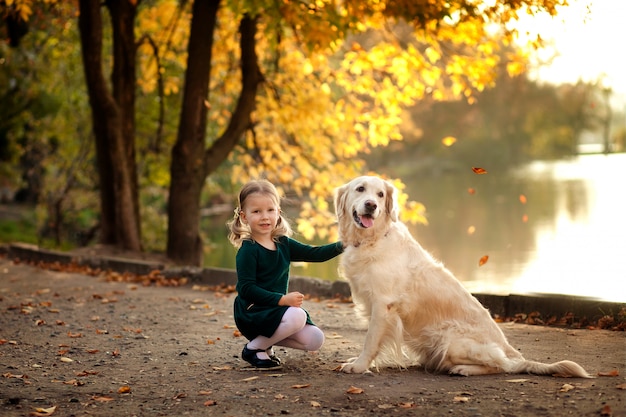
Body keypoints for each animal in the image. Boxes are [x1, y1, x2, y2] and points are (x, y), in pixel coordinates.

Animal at [334, 175, 588, 376]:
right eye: (360, 189)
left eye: (380, 194)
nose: (371, 205)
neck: (372, 239)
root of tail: (512, 352)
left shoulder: (383, 304)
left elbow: (370, 340)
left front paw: (359, 366)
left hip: (451, 339)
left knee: (500, 365)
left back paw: (463, 369)